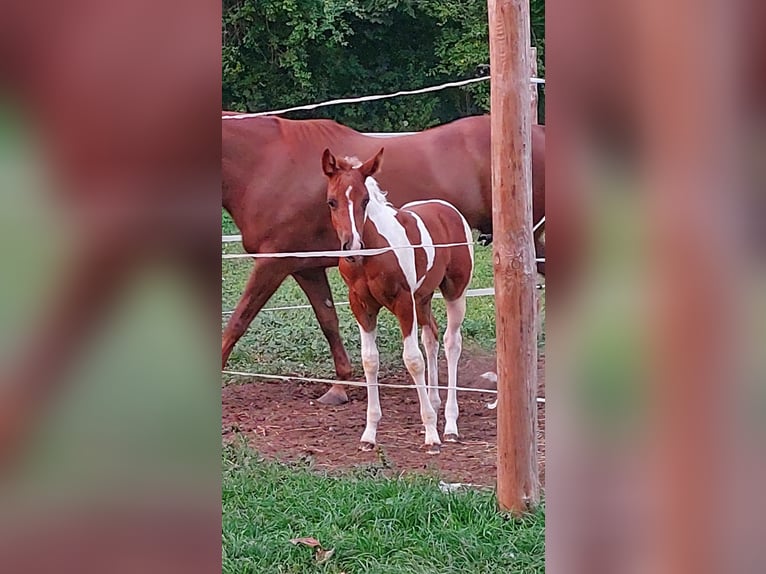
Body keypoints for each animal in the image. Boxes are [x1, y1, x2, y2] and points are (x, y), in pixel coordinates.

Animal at [222, 115, 544, 408]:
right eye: (331, 202)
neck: (268, 162)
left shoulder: (273, 263)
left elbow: (238, 321)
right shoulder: (307, 268)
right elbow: (328, 320)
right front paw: (340, 385)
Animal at [322, 148, 474, 454]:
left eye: (365, 200)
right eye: (332, 202)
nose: (351, 247)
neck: (371, 254)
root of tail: (448, 209)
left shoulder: (403, 302)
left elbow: (412, 360)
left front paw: (431, 434)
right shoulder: (361, 306)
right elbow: (370, 360)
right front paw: (369, 434)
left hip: (455, 292)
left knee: (452, 342)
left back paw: (450, 425)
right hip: (423, 298)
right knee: (432, 337)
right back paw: (435, 402)